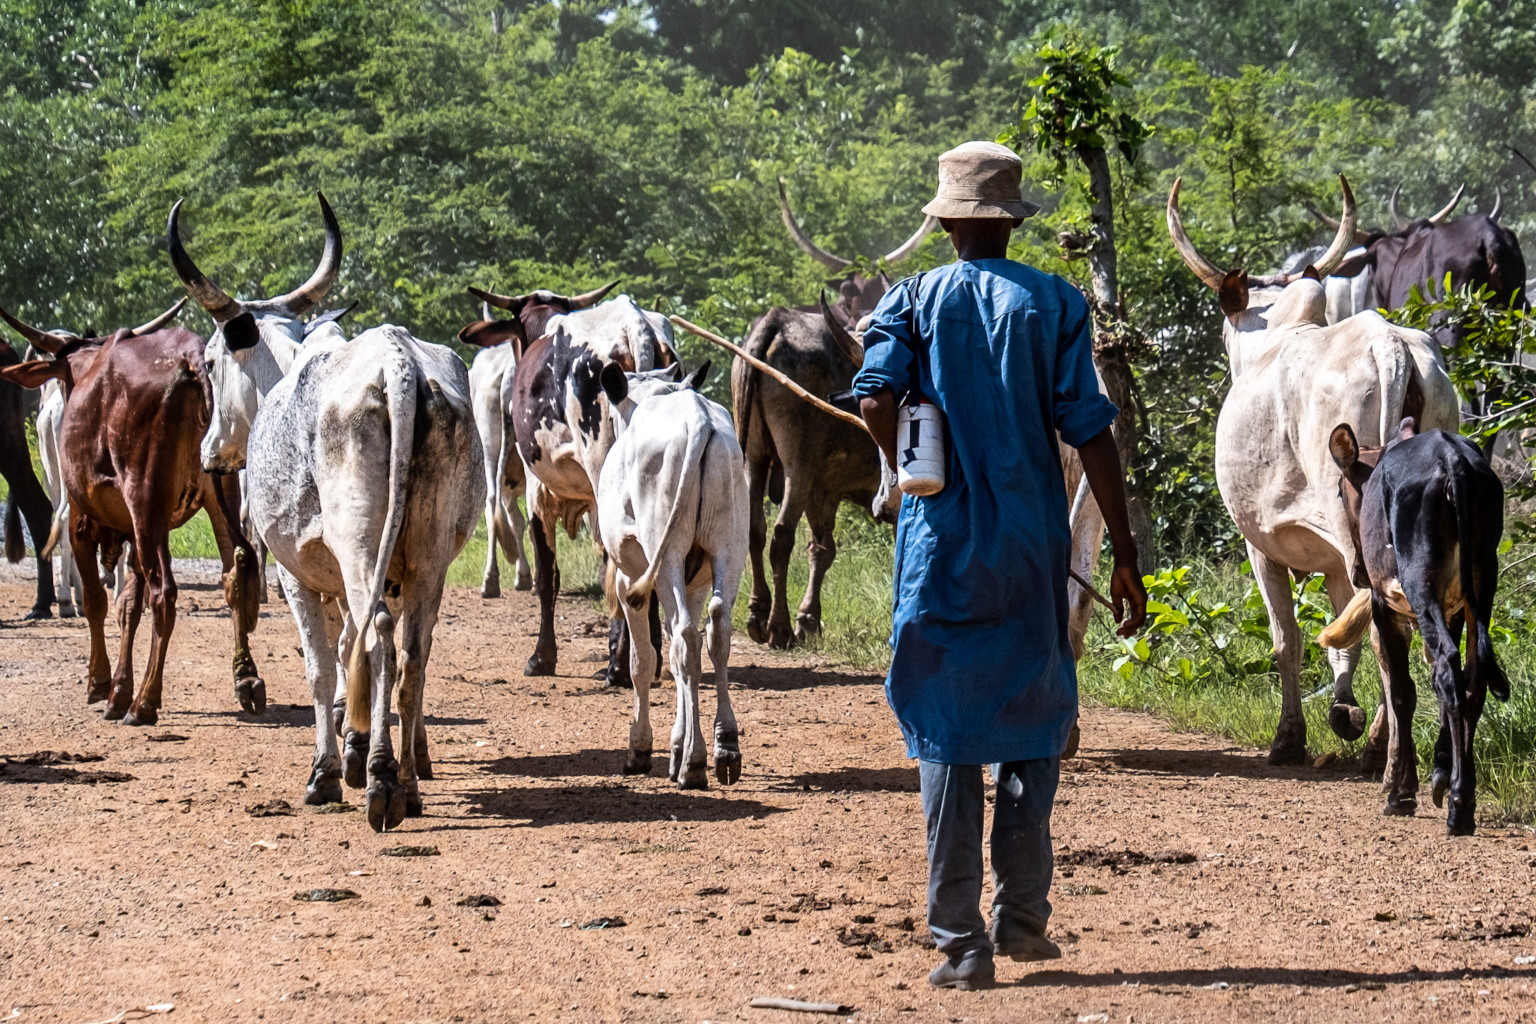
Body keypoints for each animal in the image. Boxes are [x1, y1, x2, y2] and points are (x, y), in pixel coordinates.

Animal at [0, 300, 262, 724]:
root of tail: (188, 357)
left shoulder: (82, 521)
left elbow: (97, 601)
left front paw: (101, 682)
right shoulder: (137, 531)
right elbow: (128, 607)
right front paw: (119, 689)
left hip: (145, 501)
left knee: (164, 594)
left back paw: (145, 703)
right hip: (215, 491)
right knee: (233, 571)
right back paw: (246, 679)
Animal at [167, 194, 479, 835]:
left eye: (209, 361)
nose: (210, 450)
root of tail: (398, 365)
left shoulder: (296, 572)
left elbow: (322, 665)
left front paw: (329, 771)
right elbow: (345, 652)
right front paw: (355, 747)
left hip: (360, 546)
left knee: (380, 642)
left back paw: (382, 783)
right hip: (427, 557)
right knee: (412, 656)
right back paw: (409, 783)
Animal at [592, 363, 749, 792]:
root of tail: (697, 418)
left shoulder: (629, 580)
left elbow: (642, 662)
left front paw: (642, 748)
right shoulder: (695, 583)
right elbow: (683, 662)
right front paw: (677, 745)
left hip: (665, 557)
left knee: (683, 639)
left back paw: (694, 762)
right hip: (729, 548)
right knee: (712, 631)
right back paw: (724, 747)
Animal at [1167, 176, 1456, 764]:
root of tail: (1389, 345)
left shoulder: (1261, 544)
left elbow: (1290, 640)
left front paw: (1291, 737)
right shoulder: (1331, 559)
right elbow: (1339, 639)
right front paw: (1343, 709)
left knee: (1387, 626)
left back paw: (1380, 748)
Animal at [1320, 420, 1511, 835]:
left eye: (1340, 492)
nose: (1358, 571)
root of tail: (1452, 460)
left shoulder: (1383, 605)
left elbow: (1401, 693)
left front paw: (1403, 793)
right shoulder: (1453, 610)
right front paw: (1438, 769)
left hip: (1420, 580)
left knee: (1448, 672)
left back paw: (1458, 806)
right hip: (1481, 584)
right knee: (1471, 678)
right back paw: (1459, 791)